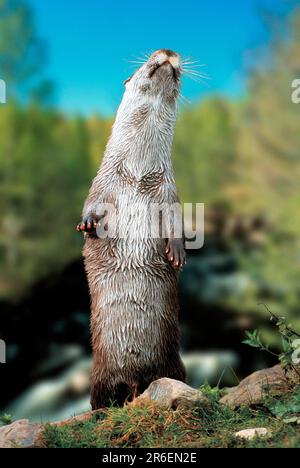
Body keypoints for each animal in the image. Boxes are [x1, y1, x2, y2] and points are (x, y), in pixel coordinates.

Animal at [76, 48, 186, 410]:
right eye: (152, 56)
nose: (168, 52)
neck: (137, 173)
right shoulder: (103, 183)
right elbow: (91, 204)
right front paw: (87, 223)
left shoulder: (168, 191)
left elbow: (177, 220)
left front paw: (177, 252)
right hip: (99, 374)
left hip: (173, 363)